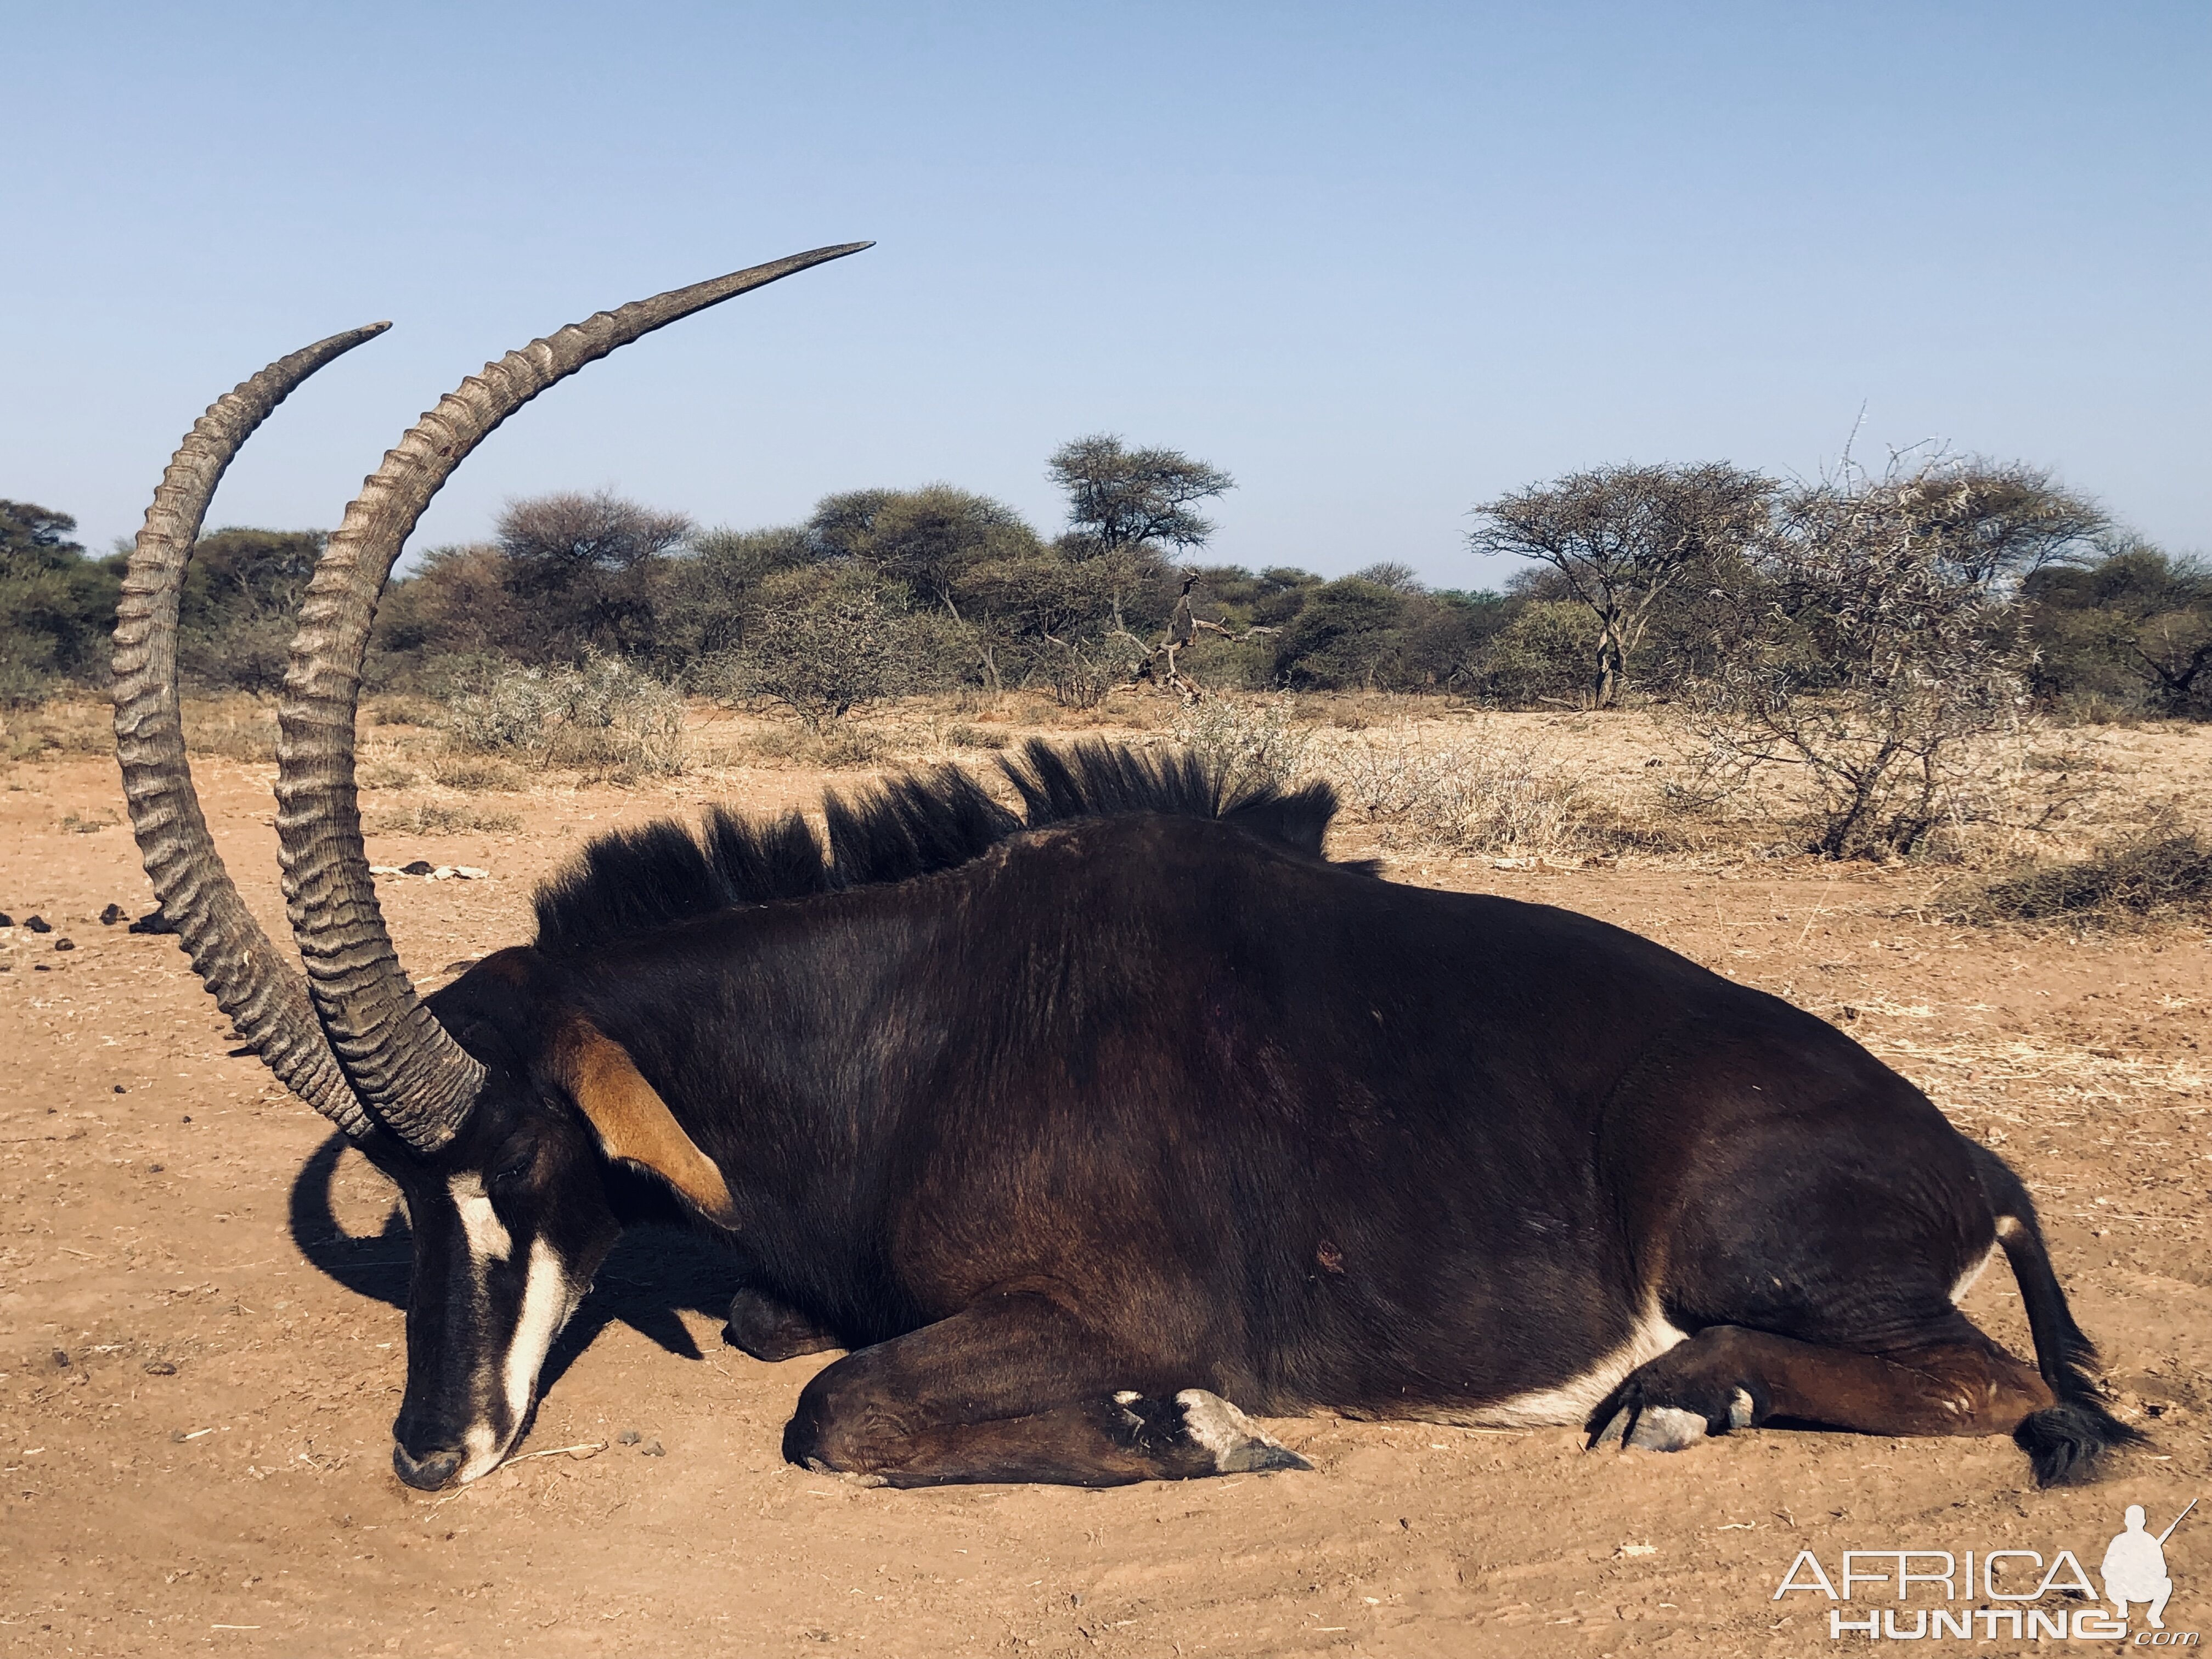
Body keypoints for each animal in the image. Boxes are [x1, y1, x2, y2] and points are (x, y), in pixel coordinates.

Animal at [112, 253, 2132, 1504]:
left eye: (526, 1161)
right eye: (396, 1190)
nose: (429, 1453)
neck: (903, 1027)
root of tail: (1976, 1156)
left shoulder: (1113, 1309)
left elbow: (837, 1407)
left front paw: (1211, 1433)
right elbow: (786, 1329)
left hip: (1740, 1230)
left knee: (1992, 1389)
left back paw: (1673, 1401)